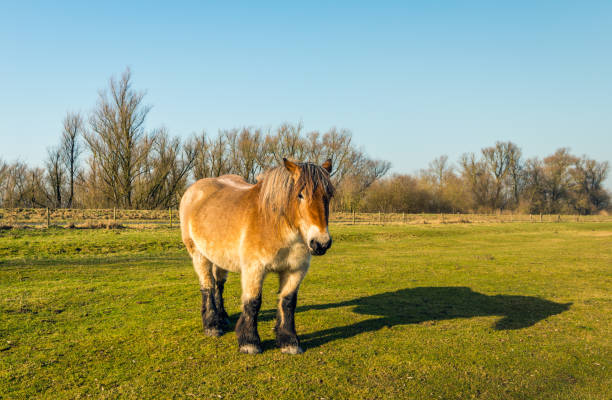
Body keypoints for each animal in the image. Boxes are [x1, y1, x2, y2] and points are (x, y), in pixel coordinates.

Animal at [180, 158, 334, 354]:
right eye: (300, 195)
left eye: (329, 196)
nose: (321, 243)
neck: (275, 225)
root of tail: (193, 190)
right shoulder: (254, 269)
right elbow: (253, 302)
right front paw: (249, 342)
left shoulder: (295, 270)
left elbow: (288, 302)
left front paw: (289, 341)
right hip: (199, 255)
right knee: (207, 286)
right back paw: (212, 325)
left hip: (219, 256)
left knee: (218, 285)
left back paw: (223, 318)